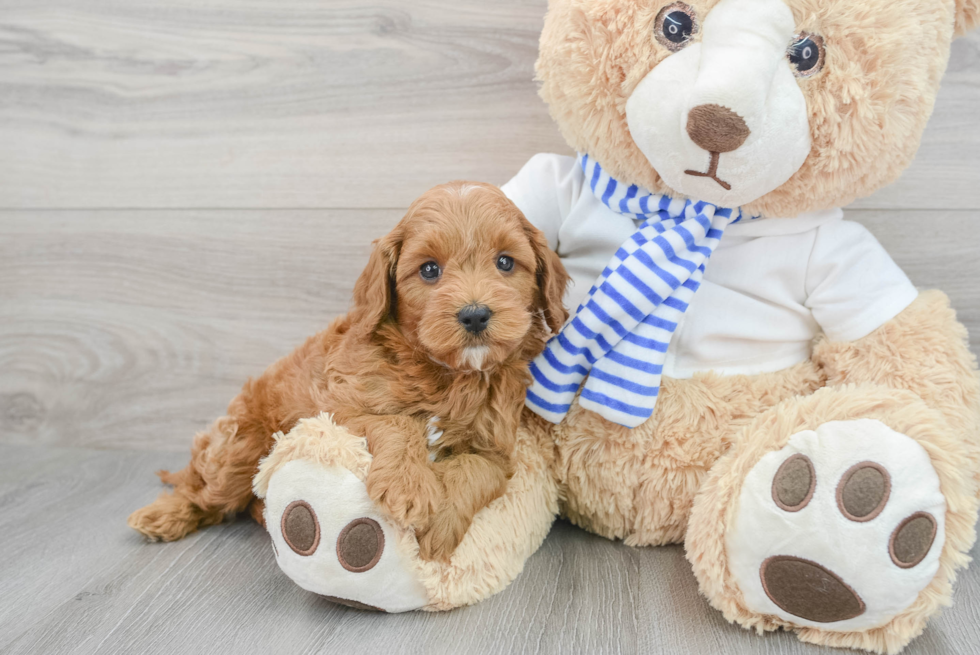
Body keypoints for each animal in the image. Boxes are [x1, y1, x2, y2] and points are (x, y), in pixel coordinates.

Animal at [127, 183, 572, 564]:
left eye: (505, 262)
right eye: (429, 270)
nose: (475, 314)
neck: (446, 374)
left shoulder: (496, 447)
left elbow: (477, 471)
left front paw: (439, 526)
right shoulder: (336, 408)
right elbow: (396, 423)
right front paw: (409, 486)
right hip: (238, 449)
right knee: (203, 492)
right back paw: (162, 515)